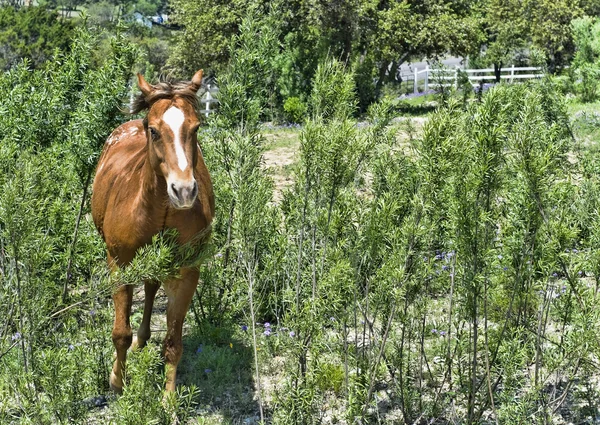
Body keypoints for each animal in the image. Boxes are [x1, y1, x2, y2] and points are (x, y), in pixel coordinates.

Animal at [90, 69, 214, 390]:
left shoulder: (187, 271)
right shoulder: (119, 264)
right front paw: (117, 380)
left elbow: (173, 343)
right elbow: (120, 332)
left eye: (195, 128)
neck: (157, 210)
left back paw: (144, 339)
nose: (184, 191)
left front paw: (169, 397)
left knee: (151, 286)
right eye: (154, 130)